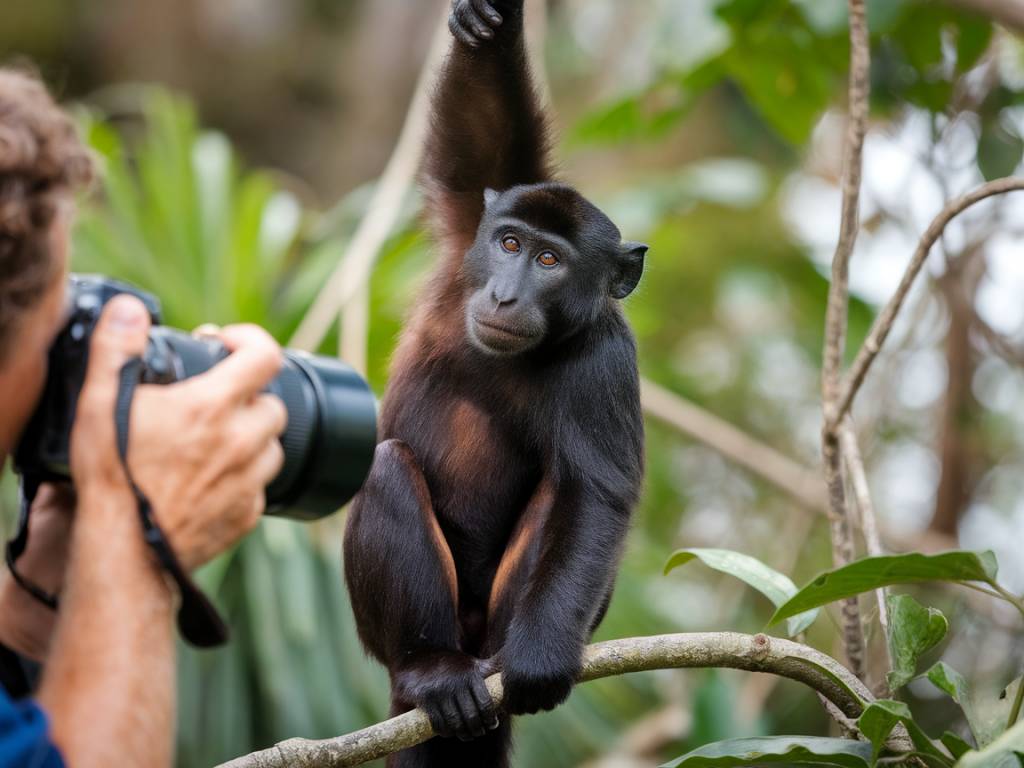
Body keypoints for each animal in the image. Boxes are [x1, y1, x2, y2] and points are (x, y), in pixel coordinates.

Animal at [344, 3, 647, 765]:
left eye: (550, 261)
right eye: (509, 244)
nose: (507, 294)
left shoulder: (606, 357)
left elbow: (592, 494)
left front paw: (539, 661)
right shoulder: (468, 239)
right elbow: (485, 145)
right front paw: (490, 24)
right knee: (385, 466)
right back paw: (431, 673)